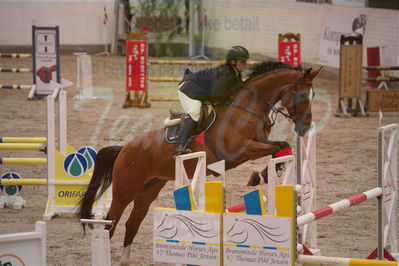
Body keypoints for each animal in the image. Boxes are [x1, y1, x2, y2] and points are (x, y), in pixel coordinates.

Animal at [78, 61, 322, 264]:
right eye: (301, 95)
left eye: (313, 95)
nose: (305, 127)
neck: (248, 108)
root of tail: (124, 148)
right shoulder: (239, 151)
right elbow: (275, 148)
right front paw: (259, 175)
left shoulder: (259, 142)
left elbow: (281, 146)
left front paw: (270, 171)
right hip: (125, 189)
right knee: (110, 223)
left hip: (149, 189)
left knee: (132, 223)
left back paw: (125, 260)